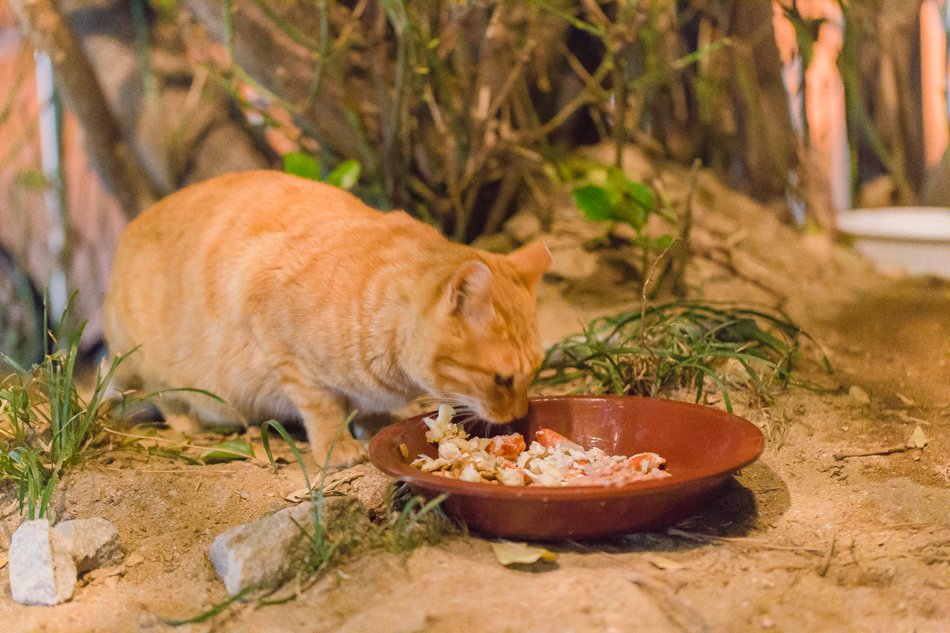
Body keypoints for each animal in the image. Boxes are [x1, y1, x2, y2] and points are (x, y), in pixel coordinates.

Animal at [103, 170, 552, 466]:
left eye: (534, 371)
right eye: (502, 379)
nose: (518, 416)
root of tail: (130, 228)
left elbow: (367, 410)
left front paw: (375, 425)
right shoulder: (285, 351)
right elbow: (322, 409)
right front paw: (338, 447)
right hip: (141, 362)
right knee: (153, 392)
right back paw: (185, 421)